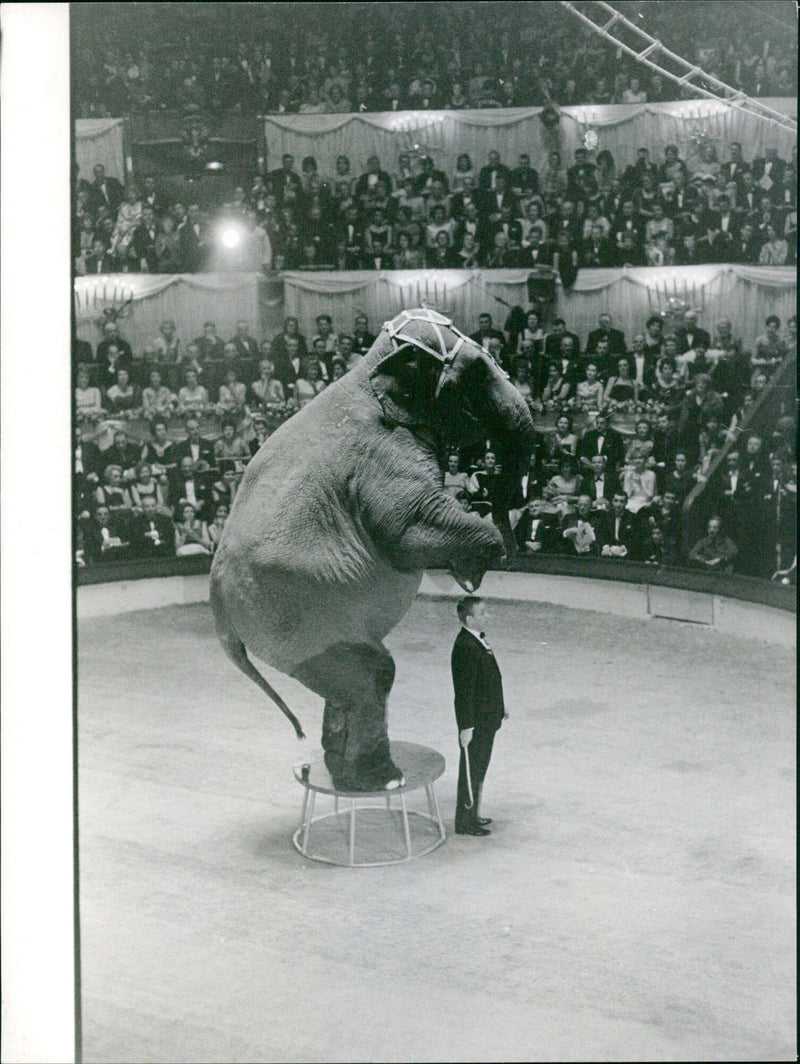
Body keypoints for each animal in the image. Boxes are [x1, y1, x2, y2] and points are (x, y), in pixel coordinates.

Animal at [210, 308, 538, 791]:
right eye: (478, 372)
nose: (509, 509)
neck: (368, 367)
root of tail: (218, 609)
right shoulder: (381, 457)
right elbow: (409, 528)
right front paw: (481, 556)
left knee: (348, 682)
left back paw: (339, 768)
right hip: (296, 615)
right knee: (373, 673)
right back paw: (381, 778)